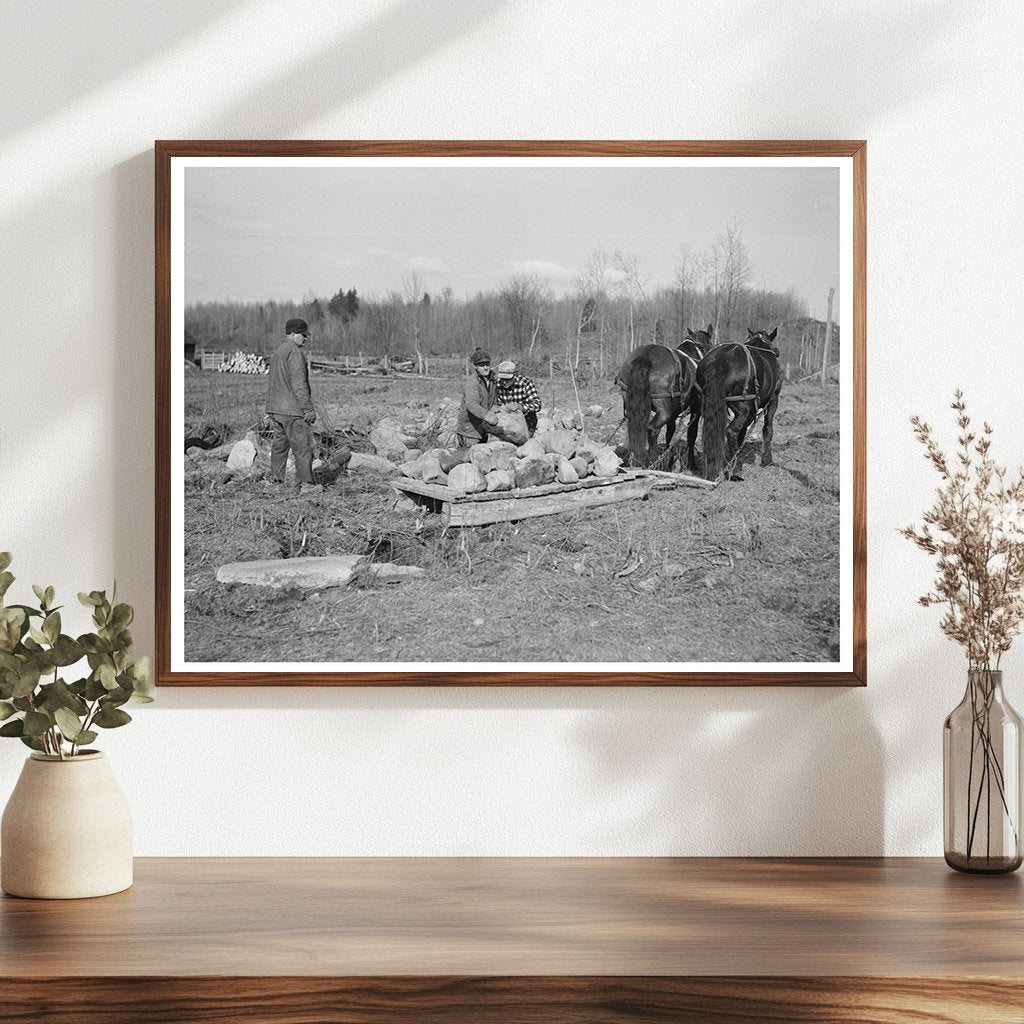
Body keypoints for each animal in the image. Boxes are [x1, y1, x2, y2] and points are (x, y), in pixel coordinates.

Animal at [696, 329, 782, 481]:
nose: (776, 351)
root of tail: (720, 361)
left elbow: (742, 432)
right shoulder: (773, 400)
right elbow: (767, 429)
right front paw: (767, 460)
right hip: (745, 408)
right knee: (731, 431)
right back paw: (735, 470)